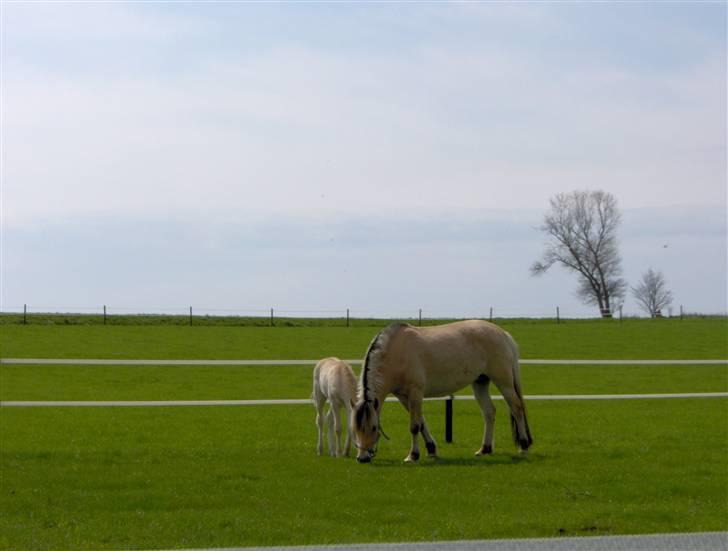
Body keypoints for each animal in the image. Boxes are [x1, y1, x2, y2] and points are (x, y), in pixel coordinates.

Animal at [350, 322, 532, 464]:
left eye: (374, 428)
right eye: (354, 428)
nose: (362, 458)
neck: (396, 352)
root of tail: (503, 334)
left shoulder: (415, 393)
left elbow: (415, 426)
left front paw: (413, 455)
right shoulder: (403, 397)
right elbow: (422, 423)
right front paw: (431, 450)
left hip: (504, 382)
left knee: (516, 408)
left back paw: (523, 446)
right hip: (480, 382)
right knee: (489, 412)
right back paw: (484, 449)